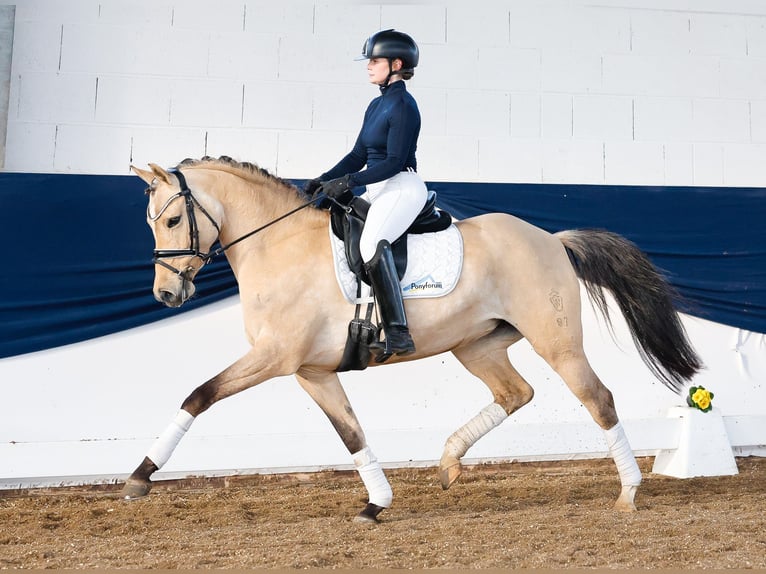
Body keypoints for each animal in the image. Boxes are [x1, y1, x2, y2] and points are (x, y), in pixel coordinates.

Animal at [123, 155, 704, 524]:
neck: (277, 244)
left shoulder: (274, 357)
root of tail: (552, 239)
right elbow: (351, 434)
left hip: (556, 344)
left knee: (598, 399)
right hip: (476, 345)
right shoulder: (312, 371)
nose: (166, 294)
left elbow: (199, 394)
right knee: (515, 393)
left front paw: (139, 477)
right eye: (151, 224)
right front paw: (376, 504)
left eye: (171, 220)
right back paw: (448, 463)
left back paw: (628, 494)